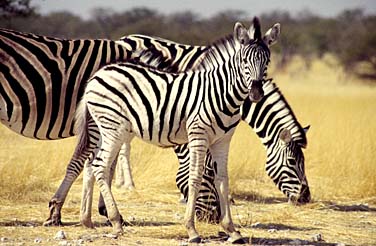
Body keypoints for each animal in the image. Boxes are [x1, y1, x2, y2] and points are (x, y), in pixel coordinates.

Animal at [73, 17, 280, 242]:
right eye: (244, 61)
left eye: (267, 61)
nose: (256, 93)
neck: (220, 92)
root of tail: (97, 74)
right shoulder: (198, 134)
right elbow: (195, 177)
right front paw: (192, 230)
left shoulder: (223, 140)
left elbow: (223, 180)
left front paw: (231, 230)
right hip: (114, 127)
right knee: (100, 166)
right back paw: (116, 222)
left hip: (107, 128)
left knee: (92, 164)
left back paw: (91, 220)